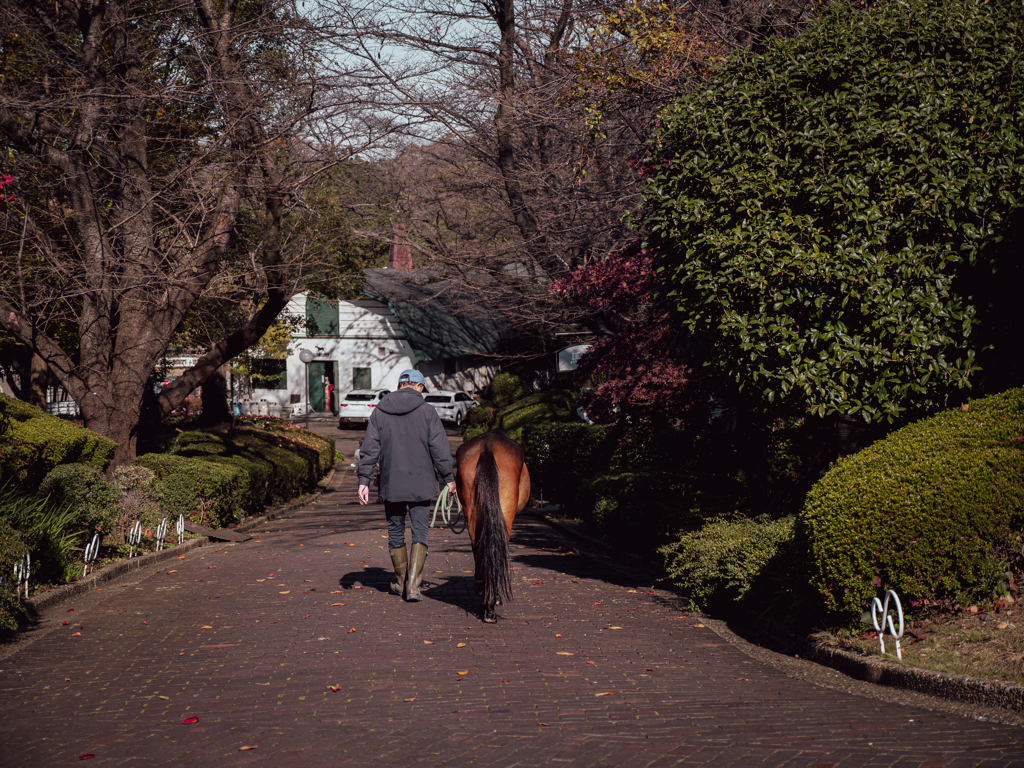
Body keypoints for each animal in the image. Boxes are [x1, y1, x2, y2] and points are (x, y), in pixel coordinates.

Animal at [458, 434, 532, 626]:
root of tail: (487, 447)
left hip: (472, 513)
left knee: (480, 547)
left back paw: (484, 596)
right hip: (505, 512)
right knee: (496, 550)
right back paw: (491, 606)